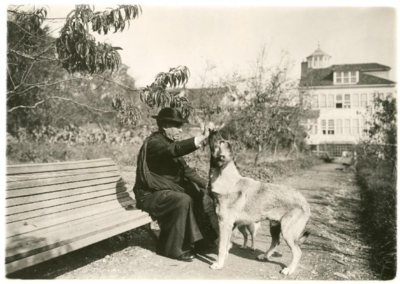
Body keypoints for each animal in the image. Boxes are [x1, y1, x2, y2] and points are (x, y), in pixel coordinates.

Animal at [208, 127, 310, 276]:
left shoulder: (224, 224)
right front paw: (224, 258)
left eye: (220, 142)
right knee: (275, 242)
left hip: (287, 231)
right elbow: (226, 245)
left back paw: (289, 270)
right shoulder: (230, 226)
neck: (226, 179)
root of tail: (305, 202)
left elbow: (221, 246)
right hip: (274, 226)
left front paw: (219, 264)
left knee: (297, 252)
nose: (213, 130)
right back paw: (265, 256)